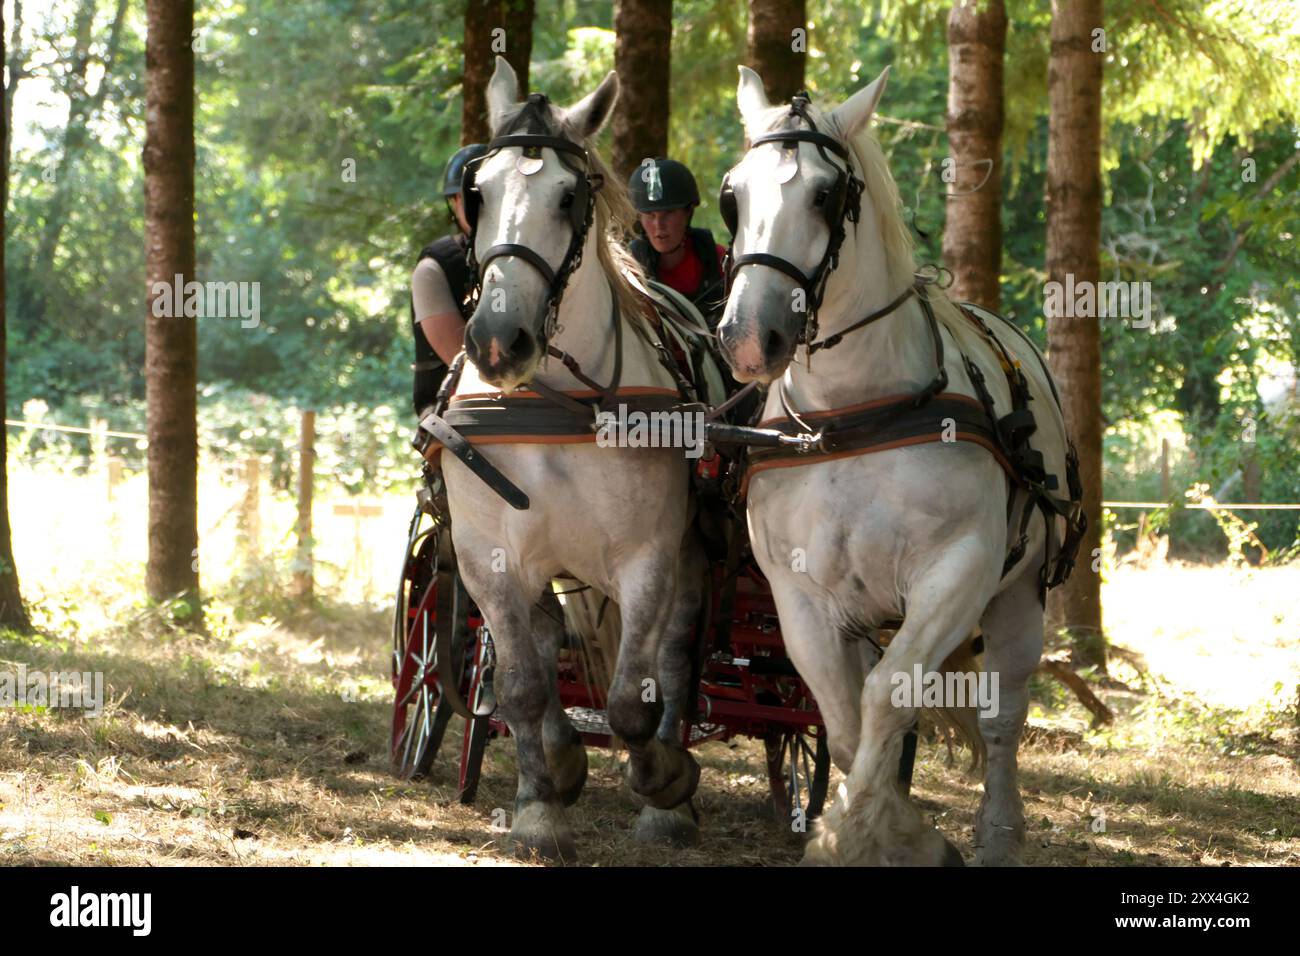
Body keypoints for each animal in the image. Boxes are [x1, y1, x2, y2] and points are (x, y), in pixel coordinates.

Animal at [439, 56, 705, 861]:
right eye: (480, 193)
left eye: (567, 196)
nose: (498, 340)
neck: (554, 405)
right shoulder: (488, 557)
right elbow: (523, 685)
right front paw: (542, 801)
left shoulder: (648, 556)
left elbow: (630, 702)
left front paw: (664, 783)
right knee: (551, 639)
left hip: (693, 552)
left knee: (674, 657)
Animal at [715, 65, 1083, 866]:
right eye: (733, 196)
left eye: (826, 194)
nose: (751, 336)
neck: (856, 414)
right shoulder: (802, 598)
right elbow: (848, 722)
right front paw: (877, 828)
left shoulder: (955, 574)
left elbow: (888, 698)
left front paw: (873, 835)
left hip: (1017, 600)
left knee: (1001, 721)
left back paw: (998, 833)